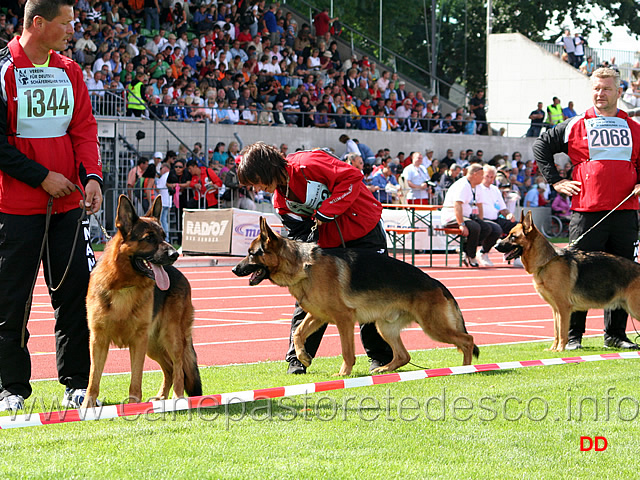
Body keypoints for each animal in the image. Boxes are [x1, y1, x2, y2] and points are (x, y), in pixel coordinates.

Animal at [80, 197, 200, 406]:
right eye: (149, 238)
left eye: (164, 235)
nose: (175, 254)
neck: (123, 286)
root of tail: (181, 275)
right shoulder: (98, 341)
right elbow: (93, 377)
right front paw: (88, 403)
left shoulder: (138, 341)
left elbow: (136, 378)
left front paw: (134, 404)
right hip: (153, 344)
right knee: (169, 368)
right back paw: (161, 396)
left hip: (170, 336)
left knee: (178, 368)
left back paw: (177, 397)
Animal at [232, 218, 478, 376]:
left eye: (252, 254)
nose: (234, 269)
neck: (303, 266)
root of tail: (438, 284)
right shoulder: (318, 316)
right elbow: (298, 333)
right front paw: (302, 358)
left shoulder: (344, 319)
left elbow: (347, 350)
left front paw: (344, 373)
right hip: (384, 326)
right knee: (403, 356)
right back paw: (383, 369)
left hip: (433, 327)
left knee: (468, 340)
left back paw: (466, 368)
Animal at [498, 212, 640, 350]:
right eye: (508, 235)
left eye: (513, 237)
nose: (495, 244)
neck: (547, 261)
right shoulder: (555, 309)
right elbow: (556, 331)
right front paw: (553, 349)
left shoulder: (563, 308)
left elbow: (562, 332)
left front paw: (560, 349)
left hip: (634, 308)